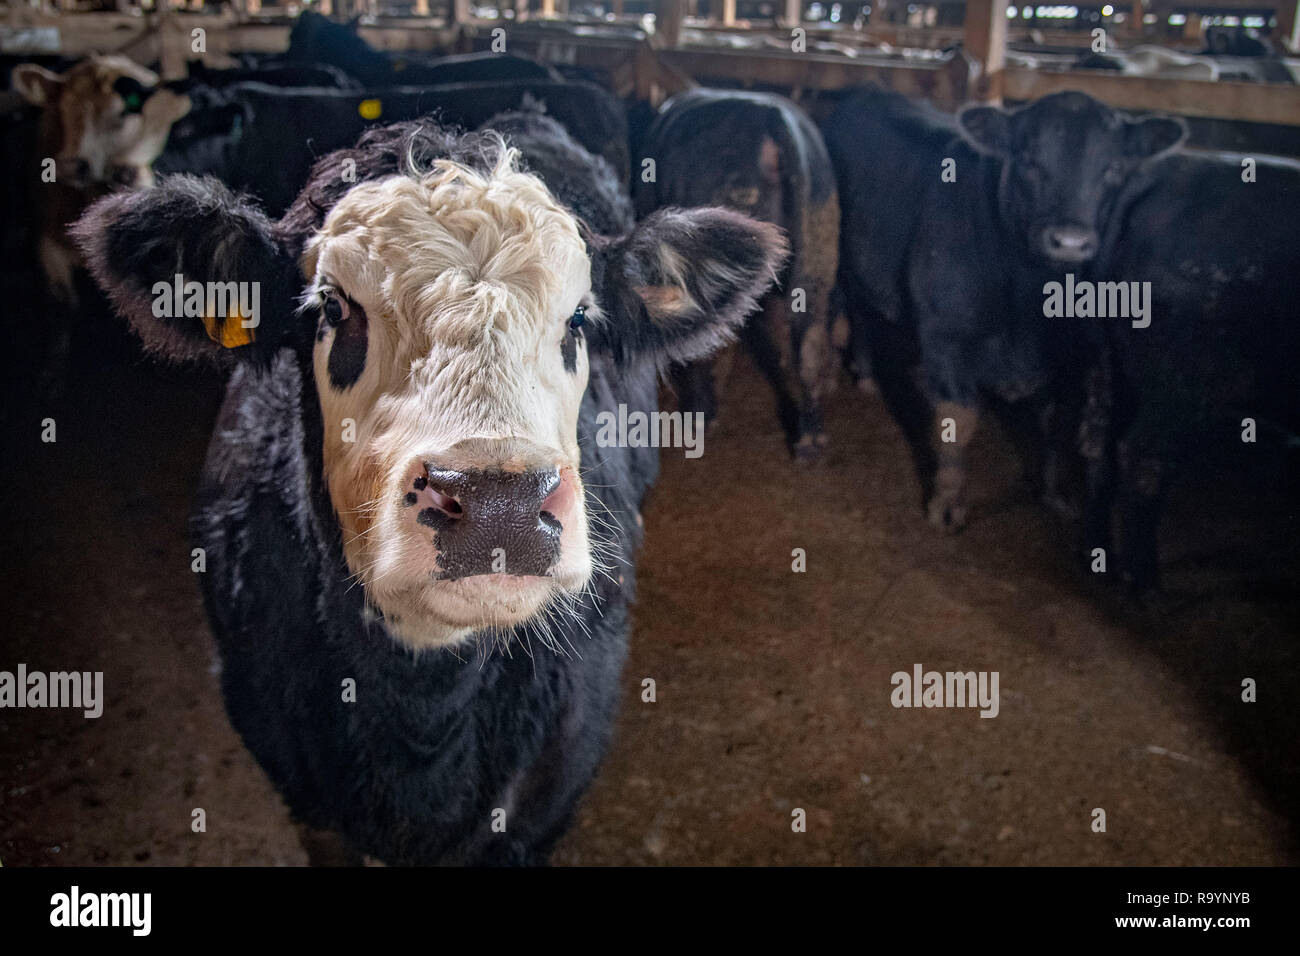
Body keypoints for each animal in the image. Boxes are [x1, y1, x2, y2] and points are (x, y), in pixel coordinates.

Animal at [824, 87, 1185, 532]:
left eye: (1113, 167)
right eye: (1029, 160)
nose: (1070, 241)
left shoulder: (1070, 356)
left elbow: (1055, 424)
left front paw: (1054, 494)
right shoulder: (946, 336)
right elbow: (957, 421)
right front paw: (946, 505)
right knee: (844, 307)